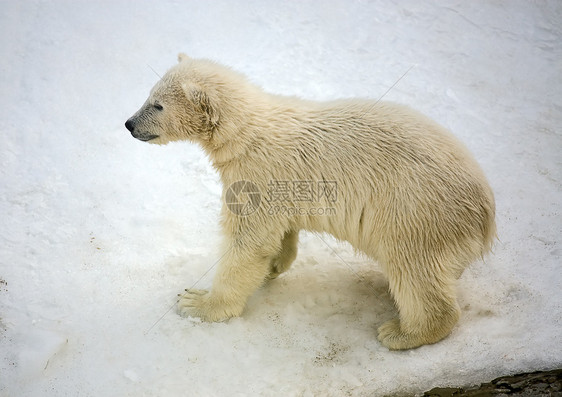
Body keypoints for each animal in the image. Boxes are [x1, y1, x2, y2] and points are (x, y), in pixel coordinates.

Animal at [124, 54, 492, 348]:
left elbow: (248, 243)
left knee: (414, 268)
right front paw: (273, 266)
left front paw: (196, 302)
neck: (245, 134)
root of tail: (486, 213)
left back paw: (401, 332)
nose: (129, 124)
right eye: (149, 95)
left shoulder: (258, 172)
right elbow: (277, 233)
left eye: (157, 105)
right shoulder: (281, 185)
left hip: (415, 212)